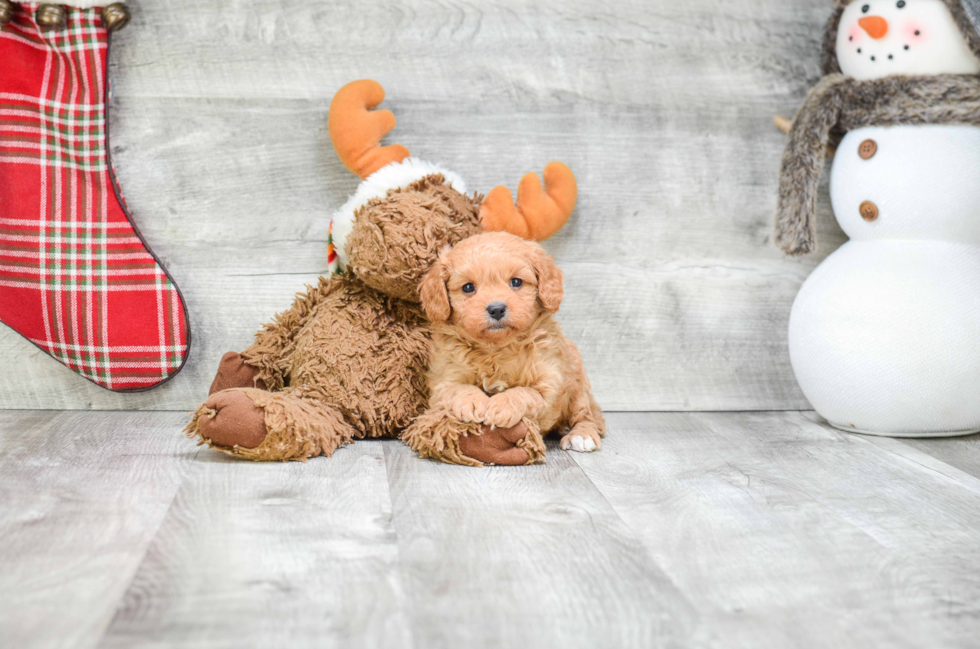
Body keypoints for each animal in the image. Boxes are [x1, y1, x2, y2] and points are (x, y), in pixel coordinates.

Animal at [420, 232, 604, 450]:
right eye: (468, 287)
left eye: (516, 282)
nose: (497, 309)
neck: (496, 348)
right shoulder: (443, 380)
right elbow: (458, 389)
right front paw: (473, 403)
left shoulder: (548, 383)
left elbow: (524, 392)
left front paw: (501, 405)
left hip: (577, 384)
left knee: (584, 415)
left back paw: (582, 435)